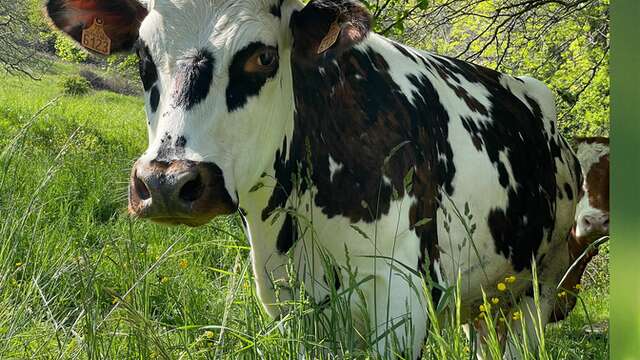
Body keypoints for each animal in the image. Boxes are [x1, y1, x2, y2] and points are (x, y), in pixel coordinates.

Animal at [47, 0, 584, 358]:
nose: (165, 183)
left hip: (539, 287)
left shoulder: (402, 298)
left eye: (262, 56)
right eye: (143, 56)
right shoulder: (288, 301)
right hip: (485, 299)